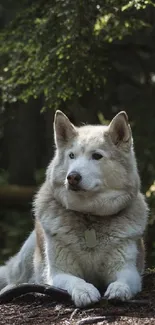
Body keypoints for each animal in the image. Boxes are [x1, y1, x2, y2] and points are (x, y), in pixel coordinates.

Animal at [0, 110, 148, 306]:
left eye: (97, 156)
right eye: (71, 156)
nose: (72, 177)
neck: (89, 216)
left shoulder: (128, 269)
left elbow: (123, 281)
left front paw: (119, 289)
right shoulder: (58, 273)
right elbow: (75, 280)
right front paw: (85, 291)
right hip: (26, 258)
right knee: (15, 278)